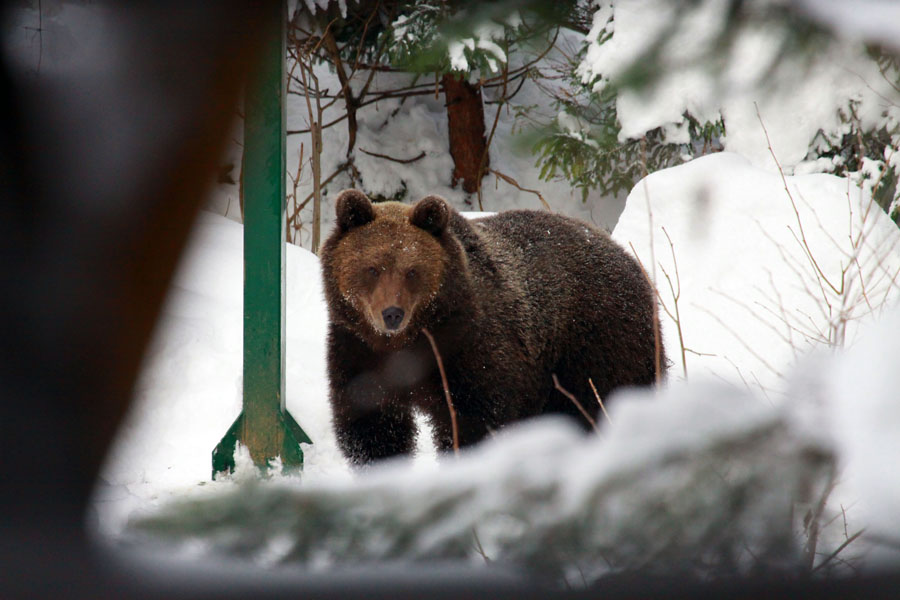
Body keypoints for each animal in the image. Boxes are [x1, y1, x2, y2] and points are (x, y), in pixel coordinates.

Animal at [318, 190, 660, 466]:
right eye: (372, 268)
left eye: (412, 271)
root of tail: (628, 258)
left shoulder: (469, 348)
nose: (392, 314)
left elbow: (473, 423)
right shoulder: (359, 350)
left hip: (598, 348)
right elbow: (372, 427)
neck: (409, 341)